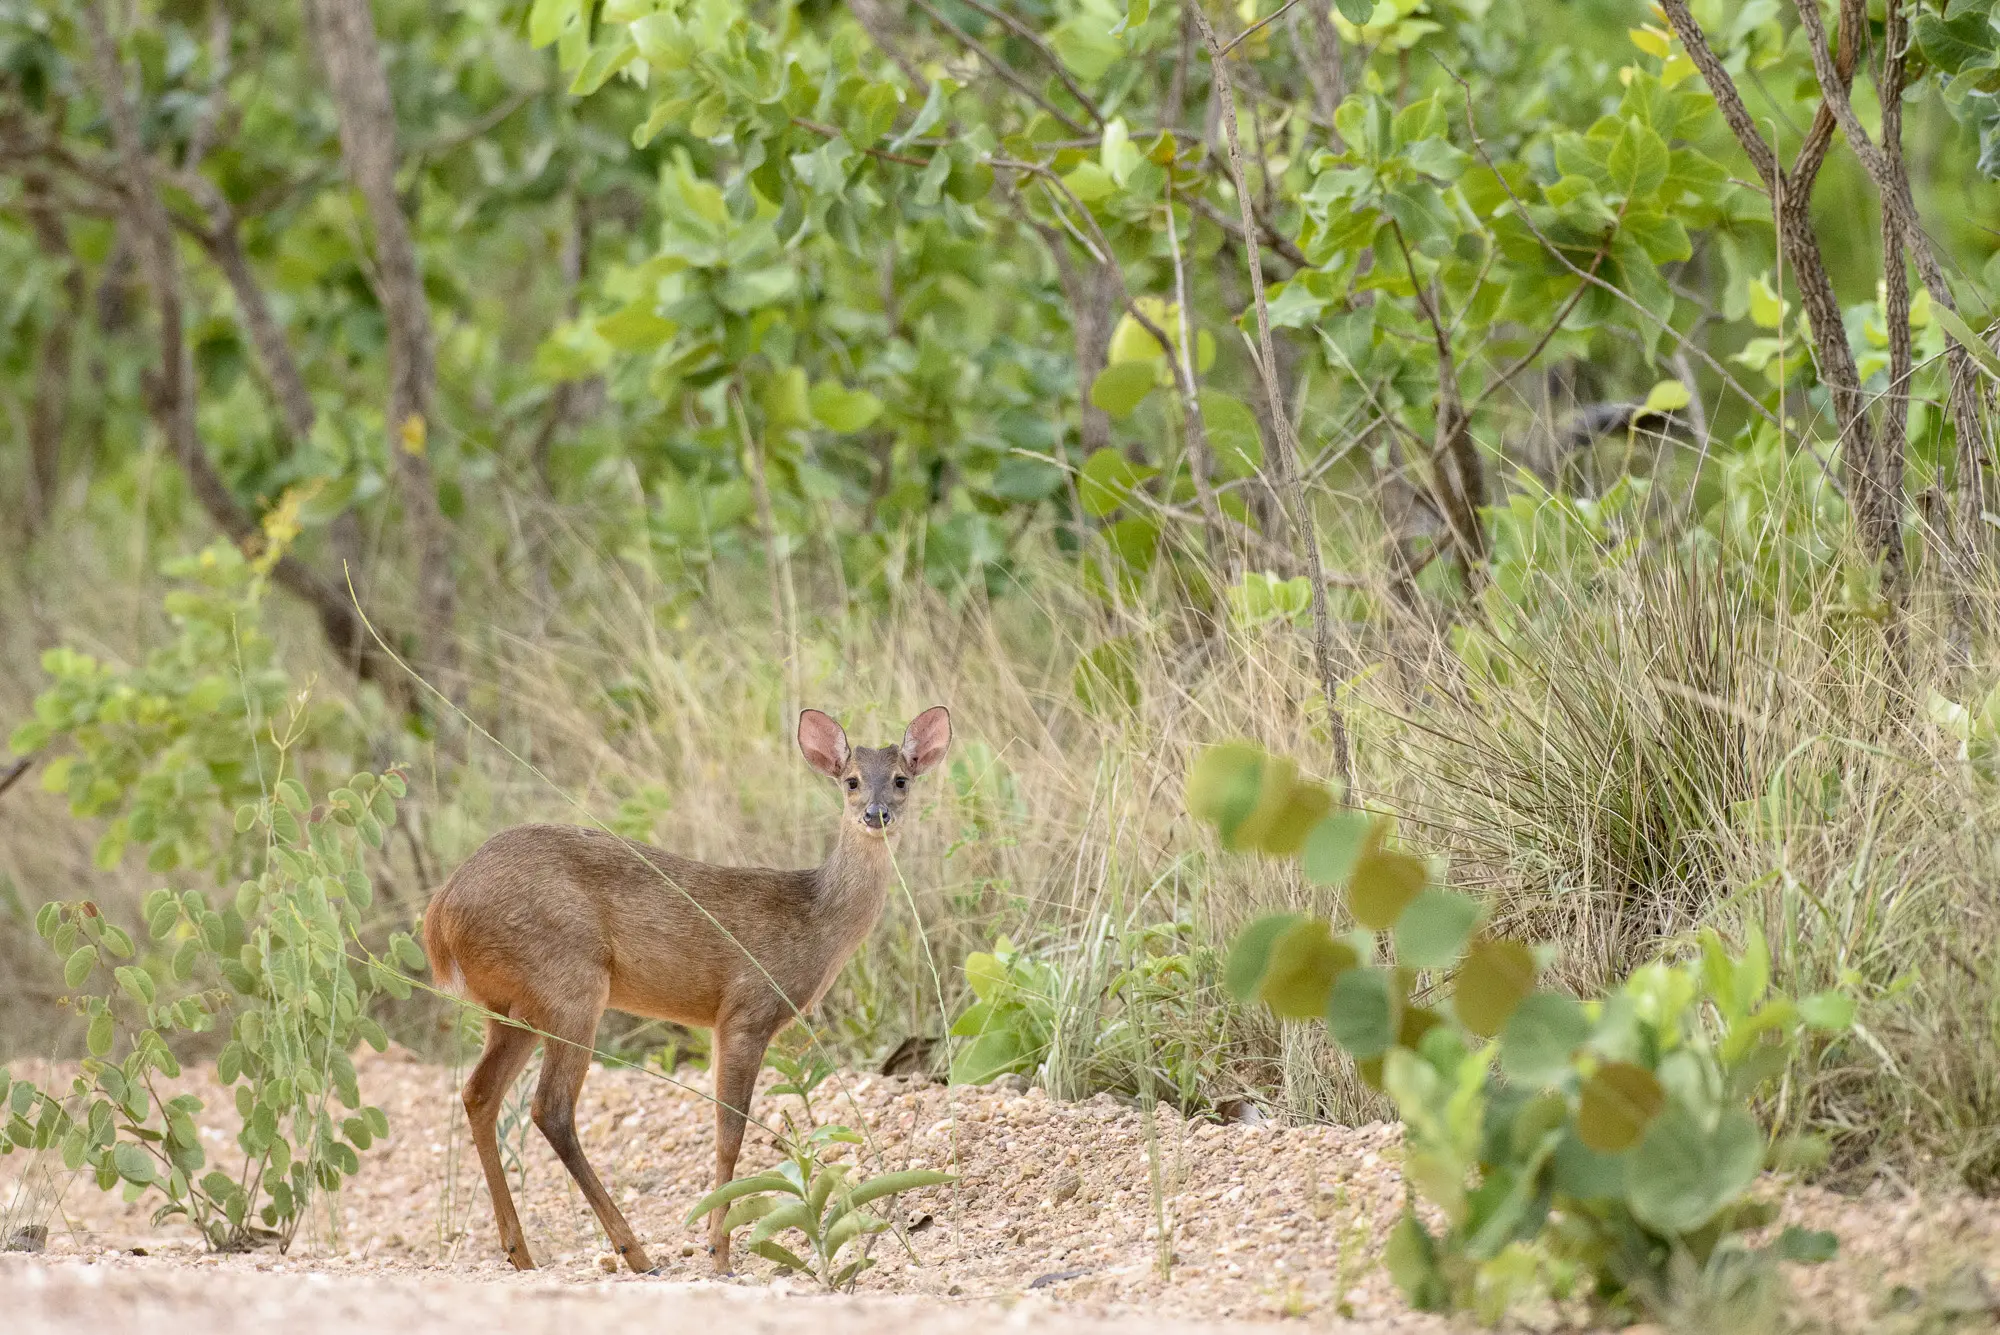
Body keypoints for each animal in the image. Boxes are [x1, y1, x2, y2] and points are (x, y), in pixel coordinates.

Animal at [422, 699, 952, 1271]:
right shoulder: (747, 1009)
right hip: (569, 983)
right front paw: (719, 1253)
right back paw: (634, 1251)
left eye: (900, 779)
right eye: (851, 780)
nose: (876, 814)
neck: (815, 918)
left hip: (512, 1006)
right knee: (550, 1108)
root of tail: (440, 917)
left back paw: (522, 1253)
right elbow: (729, 1132)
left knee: (479, 1093)